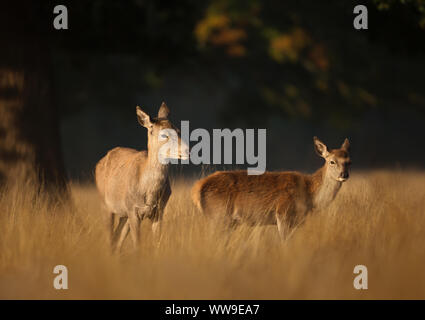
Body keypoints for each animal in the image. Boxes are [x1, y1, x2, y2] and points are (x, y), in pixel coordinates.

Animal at [97, 102, 190, 252]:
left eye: (178, 130)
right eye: (164, 134)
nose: (187, 150)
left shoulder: (159, 211)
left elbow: (157, 244)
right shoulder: (133, 210)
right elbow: (137, 247)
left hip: (124, 215)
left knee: (117, 239)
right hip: (105, 205)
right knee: (110, 239)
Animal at [192, 138, 352, 240]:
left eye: (349, 161)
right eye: (332, 161)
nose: (344, 175)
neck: (310, 194)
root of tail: (197, 189)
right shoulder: (282, 212)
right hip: (219, 216)